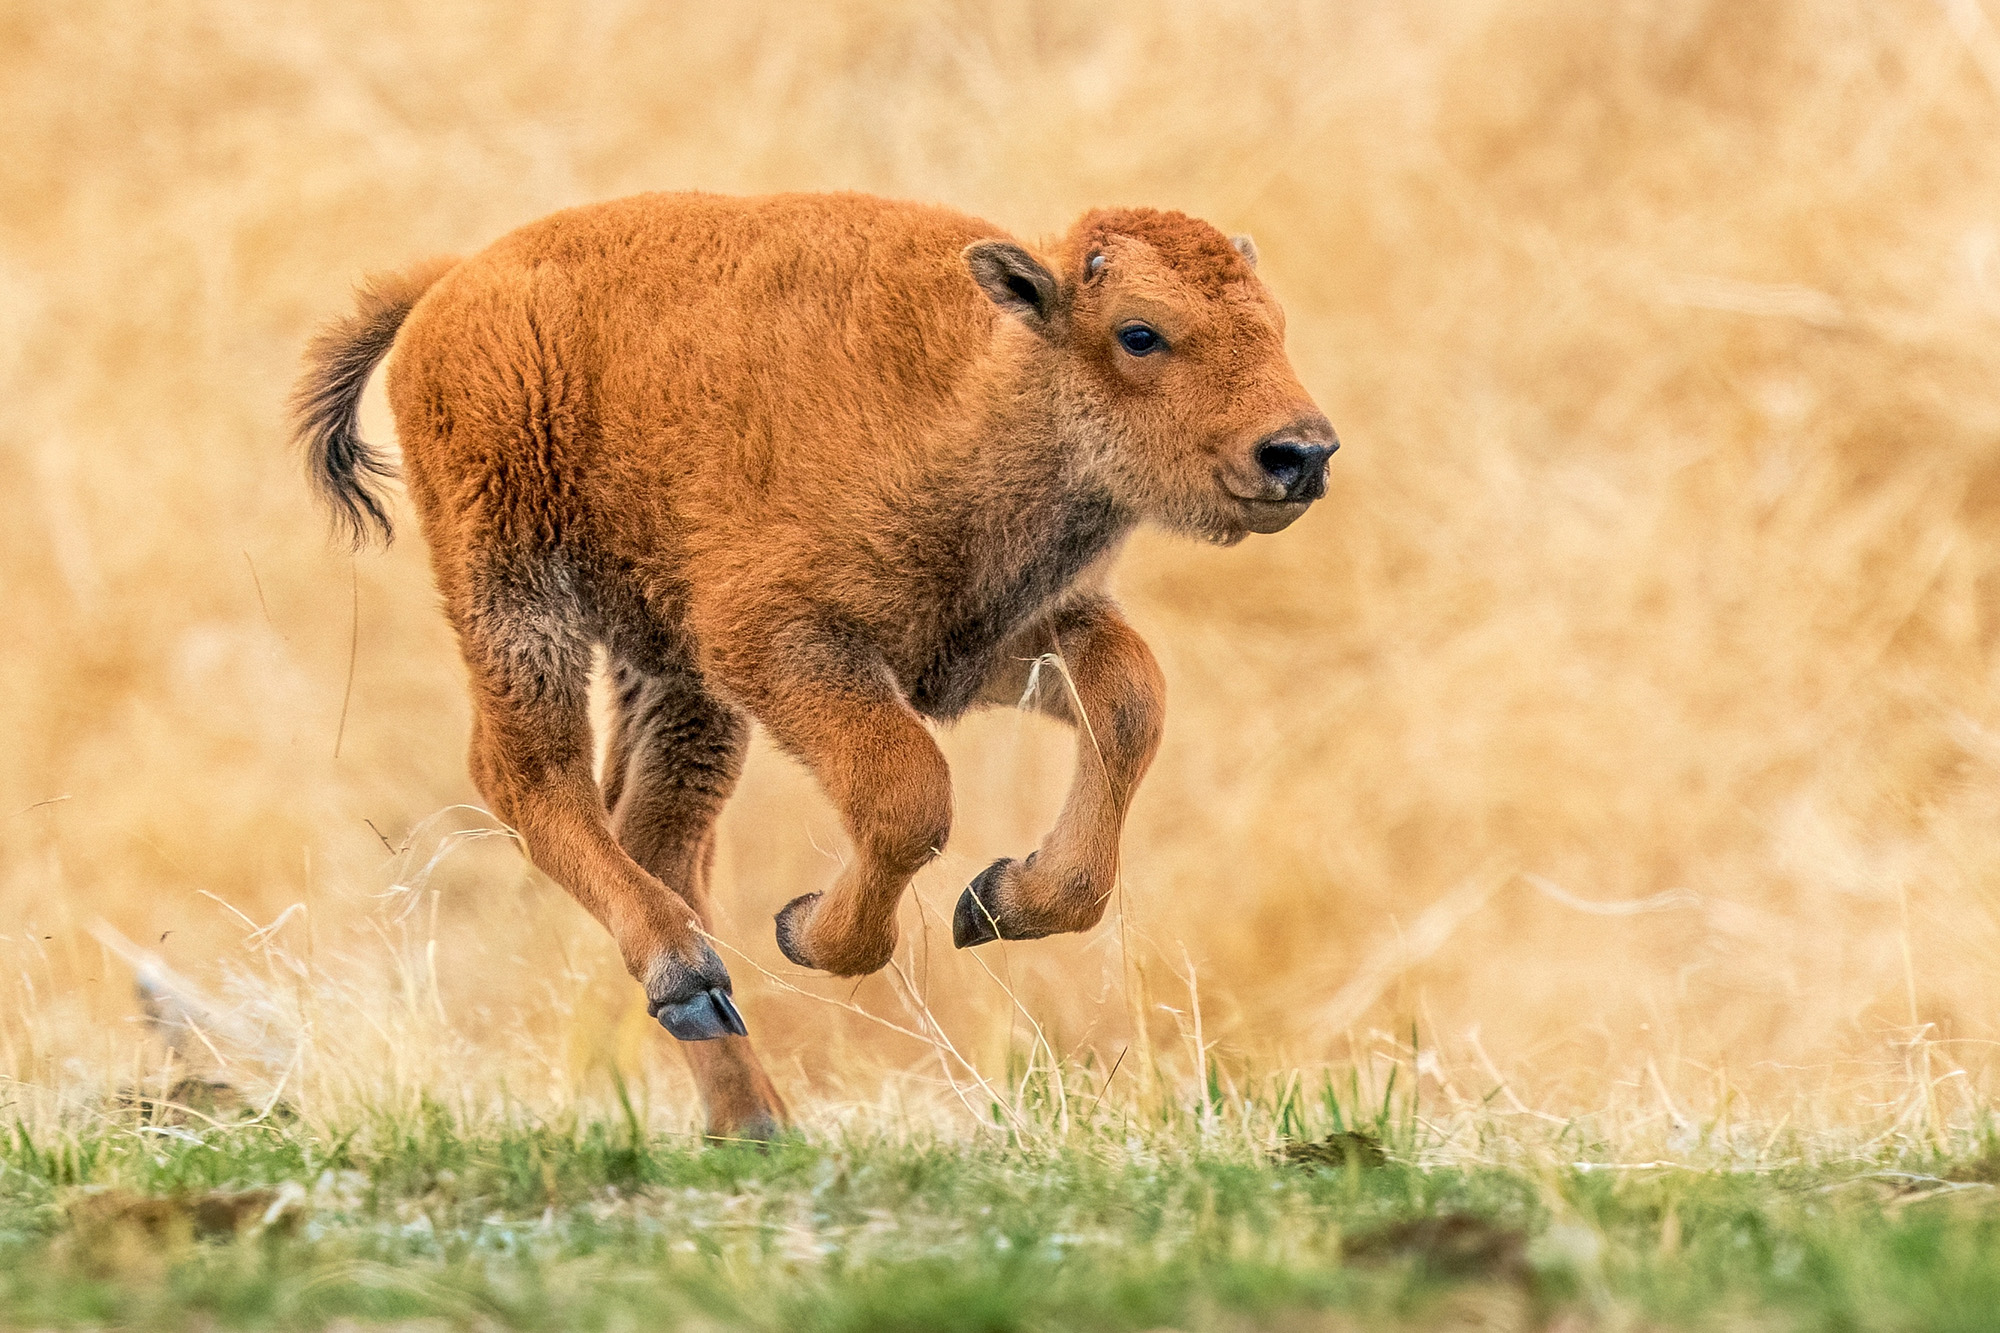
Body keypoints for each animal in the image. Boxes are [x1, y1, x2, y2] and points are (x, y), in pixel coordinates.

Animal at [292, 191, 1336, 1139]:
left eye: (1276, 324)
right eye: (1140, 333)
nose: (1301, 452)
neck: (980, 382)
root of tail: (448, 286)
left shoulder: (986, 642)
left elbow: (1127, 706)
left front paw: (998, 902)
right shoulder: (785, 645)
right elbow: (908, 792)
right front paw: (809, 929)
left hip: (672, 672)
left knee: (655, 831)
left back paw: (751, 1113)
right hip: (515, 593)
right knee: (530, 775)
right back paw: (689, 981)